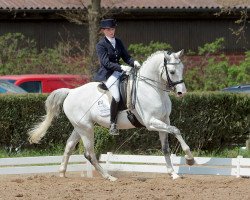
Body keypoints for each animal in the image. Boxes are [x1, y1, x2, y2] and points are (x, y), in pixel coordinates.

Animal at [28, 49, 194, 180]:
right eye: (172, 72)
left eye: (182, 68)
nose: (182, 92)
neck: (153, 89)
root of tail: (71, 91)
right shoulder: (151, 122)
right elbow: (176, 130)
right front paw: (189, 158)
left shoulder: (163, 120)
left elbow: (166, 147)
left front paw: (173, 173)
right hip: (87, 129)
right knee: (89, 154)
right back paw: (109, 177)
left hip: (80, 127)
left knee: (69, 146)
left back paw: (62, 173)